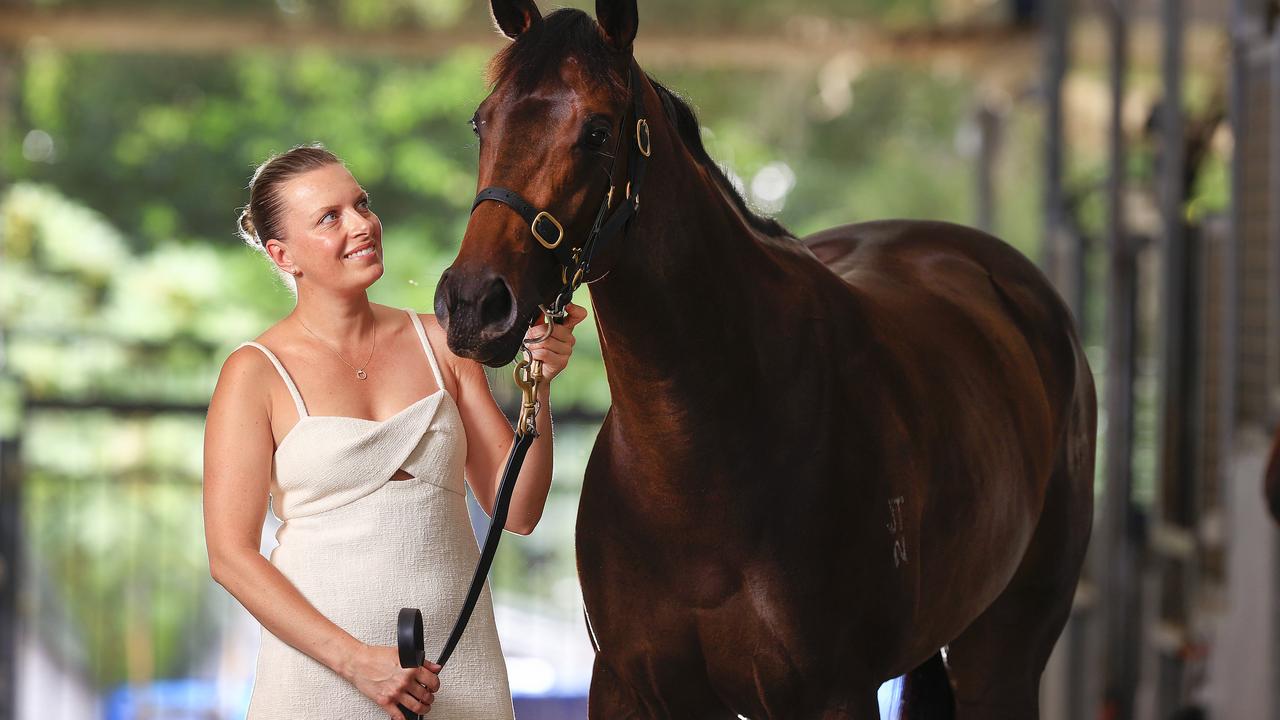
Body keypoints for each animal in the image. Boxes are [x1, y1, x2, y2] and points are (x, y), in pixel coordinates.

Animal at [435, 2, 1095, 712]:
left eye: (598, 131)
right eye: (482, 121)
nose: (474, 304)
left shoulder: (837, 694)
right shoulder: (627, 688)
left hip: (1002, 655)